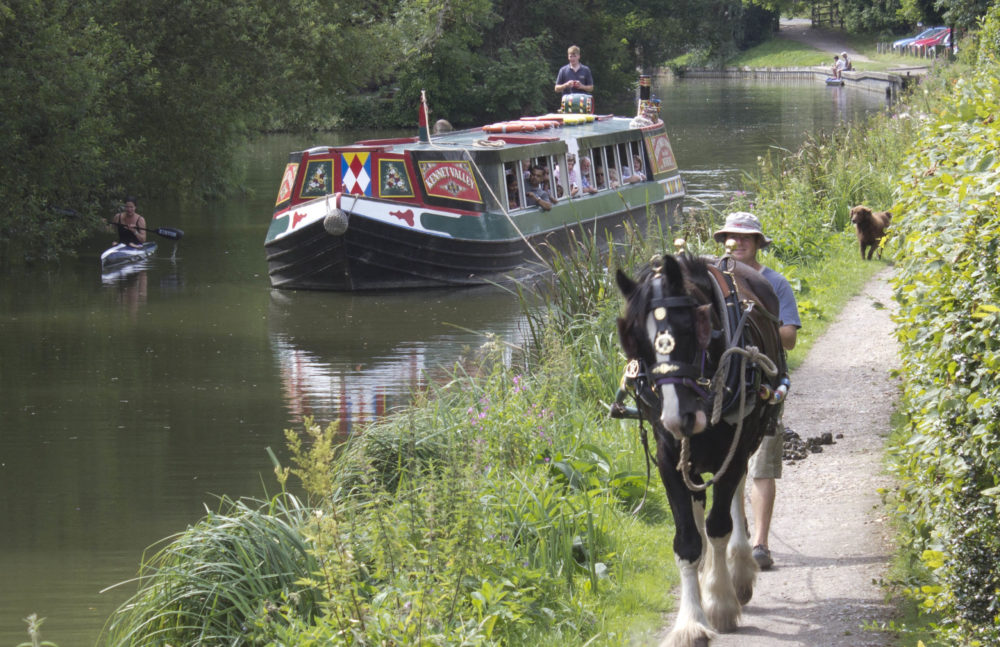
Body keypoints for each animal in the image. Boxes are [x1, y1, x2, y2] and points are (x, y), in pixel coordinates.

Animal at [608, 253, 788, 647]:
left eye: (692, 329)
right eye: (637, 342)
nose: (680, 415)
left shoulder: (735, 449)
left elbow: (720, 525)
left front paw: (720, 601)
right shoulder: (668, 458)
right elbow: (688, 541)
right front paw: (691, 621)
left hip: (748, 439)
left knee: (735, 495)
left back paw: (739, 570)